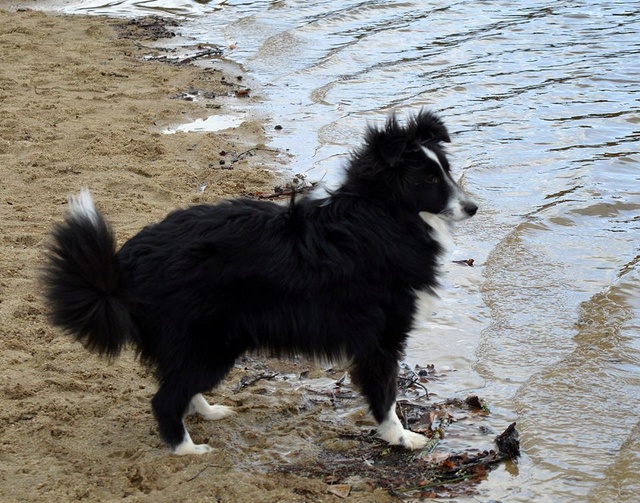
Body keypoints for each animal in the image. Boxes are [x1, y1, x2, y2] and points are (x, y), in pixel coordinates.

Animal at [43, 111, 476, 456]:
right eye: (428, 179)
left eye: (446, 169)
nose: (473, 207)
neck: (383, 214)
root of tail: (123, 265)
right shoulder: (382, 337)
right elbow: (386, 394)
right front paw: (402, 438)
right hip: (210, 343)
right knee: (164, 400)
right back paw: (187, 450)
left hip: (202, 345)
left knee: (180, 386)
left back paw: (208, 411)